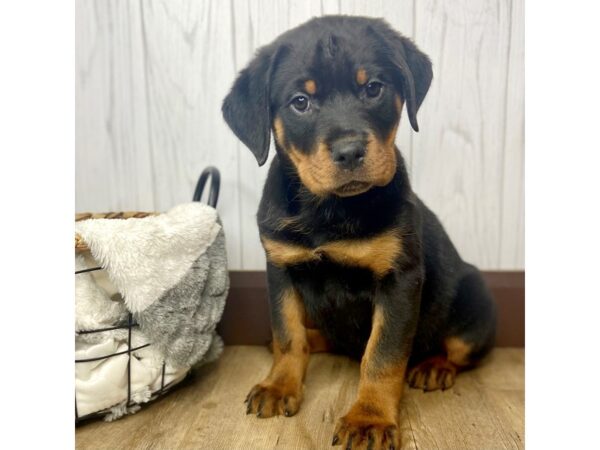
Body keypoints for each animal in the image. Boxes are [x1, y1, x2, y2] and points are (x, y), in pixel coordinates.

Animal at [223, 14, 494, 450]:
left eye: (373, 88)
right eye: (300, 101)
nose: (349, 151)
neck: (330, 210)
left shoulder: (399, 279)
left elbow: (382, 356)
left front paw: (369, 419)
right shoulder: (280, 268)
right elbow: (288, 335)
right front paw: (280, 385)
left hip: (474, 296)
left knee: (458, 348)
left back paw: (434, 366)